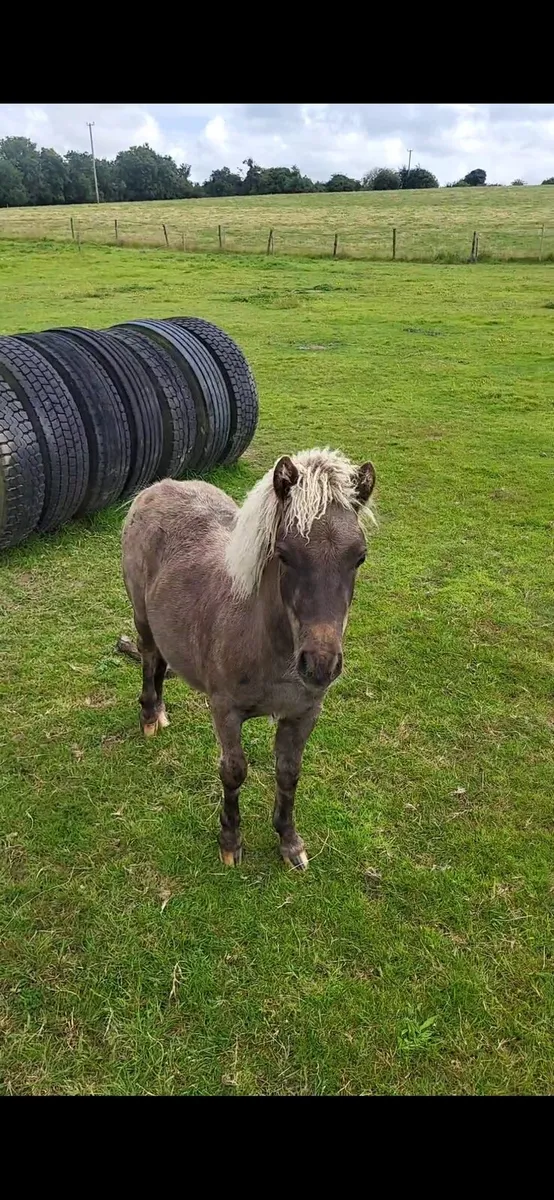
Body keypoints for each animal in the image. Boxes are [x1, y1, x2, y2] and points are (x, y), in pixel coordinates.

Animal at [120, 448, 376, 870]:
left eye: (359, 557)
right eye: (284, 554)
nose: (320, 665)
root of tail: (158, 487)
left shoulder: (302, 714)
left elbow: (288, 773)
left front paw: (289, 842)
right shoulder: (225, 711)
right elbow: (234, 771)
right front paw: (230, 841)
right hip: (141, 616)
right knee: (148, 658)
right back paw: (150, 716)